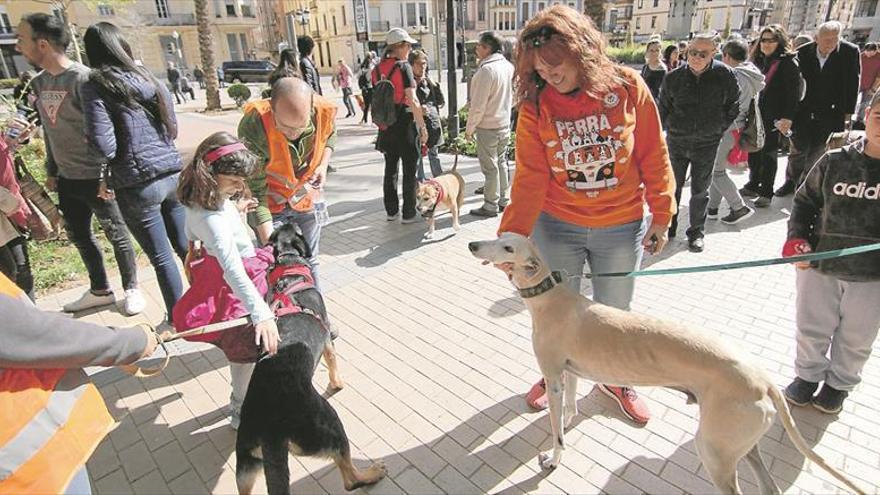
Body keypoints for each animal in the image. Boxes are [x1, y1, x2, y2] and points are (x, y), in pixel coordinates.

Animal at [235, 224, 386, 495]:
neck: (289, 270)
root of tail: (268, 429)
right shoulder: (327, 341)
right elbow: (333, 363)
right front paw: (337, 383)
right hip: (329, 425)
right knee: (349, 477)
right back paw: (371, 473)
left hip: (245, 465)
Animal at [470, 233, 864, 495]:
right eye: (499, 236)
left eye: (508, 247)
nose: (472, 245)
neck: (551, 297)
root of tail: (763, 380)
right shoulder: (569, 373)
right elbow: (568, 409)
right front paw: (567, 423)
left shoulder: (553, 374)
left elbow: (557, 432)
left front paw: (554, 460)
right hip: (741, 446)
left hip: (715, 451)